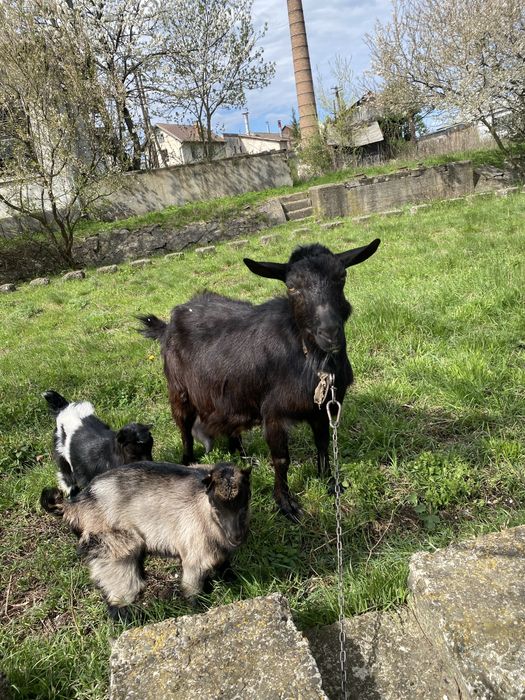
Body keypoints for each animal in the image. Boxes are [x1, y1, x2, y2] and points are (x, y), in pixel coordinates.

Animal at [40, 461, 251, 619]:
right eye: (216, 505)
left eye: (245, 502)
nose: (236, 537)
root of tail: (75, 506)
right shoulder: (195, 555)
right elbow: (193, 591)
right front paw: (200, 610)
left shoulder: (218, 552)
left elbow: (224, 567)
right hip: (115, 548)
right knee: (119, 597)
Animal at [138, 239, 380, 520]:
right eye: (291, 286)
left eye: (341, 276)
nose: (329, 333)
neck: (312, 358)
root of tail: (168, 323)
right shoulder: (273, 412)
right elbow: (282, 460)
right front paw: (286, 504)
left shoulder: (321, 409)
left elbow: (323, 444)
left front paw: (330, 483)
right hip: (179, 390)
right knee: (184, 428)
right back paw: (186, 462)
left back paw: (242, 457)